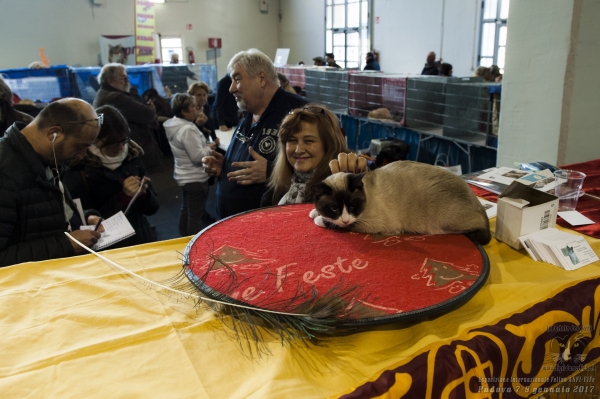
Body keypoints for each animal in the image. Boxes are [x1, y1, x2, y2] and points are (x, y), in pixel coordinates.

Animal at [310, 161, 492, 245]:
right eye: (334, 208)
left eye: (352, 206)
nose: (345, 218)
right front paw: (314, 212)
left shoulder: (369, 223)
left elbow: (339, 225)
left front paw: (319, 219)